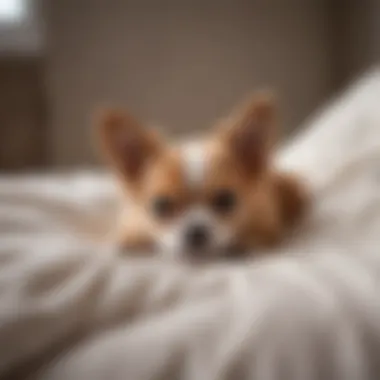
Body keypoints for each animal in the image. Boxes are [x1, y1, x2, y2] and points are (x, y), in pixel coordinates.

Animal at [95, 93, 308, 258]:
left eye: (226, 200)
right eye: (161, 206)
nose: (196, 232)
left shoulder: (269, 225)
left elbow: (262, 237)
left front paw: (242, 244)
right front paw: (130, 243)